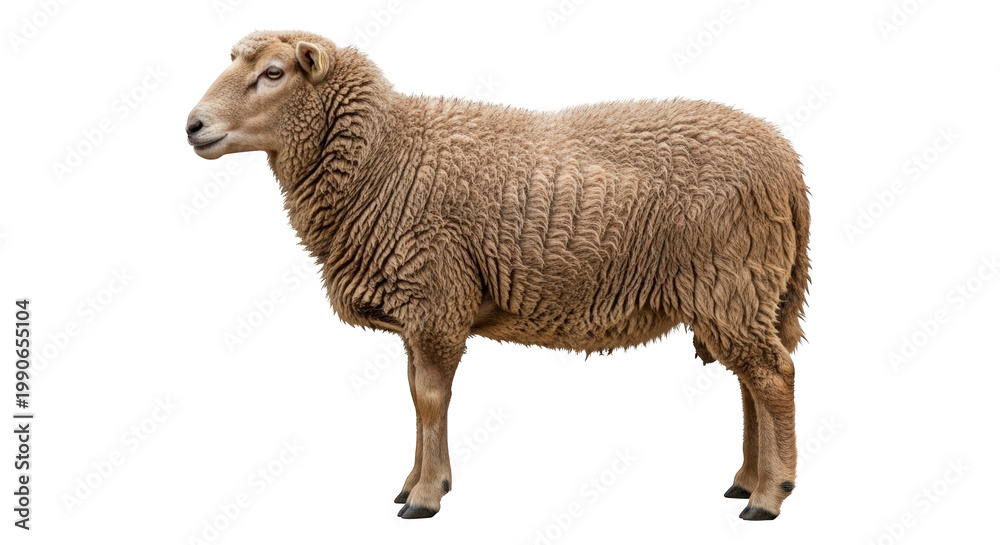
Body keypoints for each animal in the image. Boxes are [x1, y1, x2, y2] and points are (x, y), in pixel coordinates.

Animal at [186, 30, 811, 521]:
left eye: (273, 73)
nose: (193, 125)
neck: (386, 158)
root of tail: (786, 162)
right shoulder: (418, 311)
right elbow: (414, 396)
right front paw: (412, 483)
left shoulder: (436, 300)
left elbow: (431, 398)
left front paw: (426, 496)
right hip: (741, 290)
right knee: (750, 380)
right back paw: (745, 481)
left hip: (733, 278)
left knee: (773, 376)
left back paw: (769, 496)